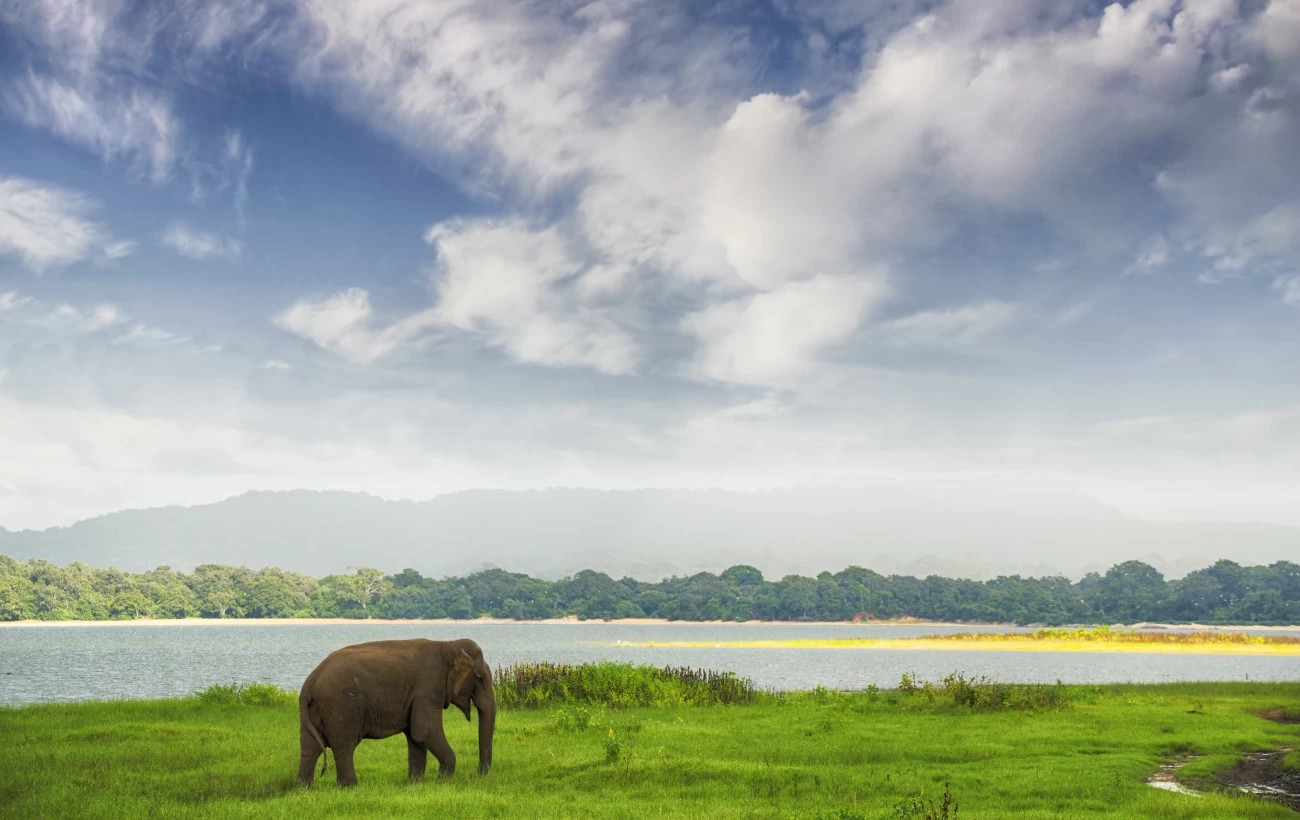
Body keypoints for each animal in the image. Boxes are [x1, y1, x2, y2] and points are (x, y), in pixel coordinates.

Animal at [297, 637, 495, 786]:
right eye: (480, 679)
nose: (476, 774)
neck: (446, 645)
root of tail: (309, 682)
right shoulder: (428, 688)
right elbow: (425, 730)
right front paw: (442, 782)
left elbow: (416, 736)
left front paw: (415, 783)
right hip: (341, 707)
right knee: (344, 746)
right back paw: (350, 787)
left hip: (313, 710)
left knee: (310, 747)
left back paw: (304, 787)